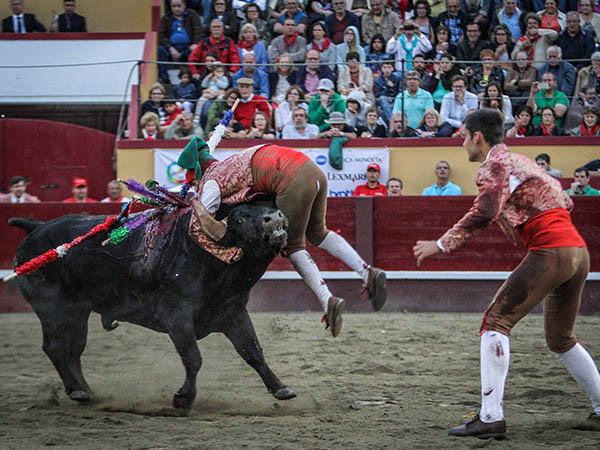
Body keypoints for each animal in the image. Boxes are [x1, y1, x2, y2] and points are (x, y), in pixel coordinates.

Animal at [9, 199, 296, 410]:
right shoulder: (176, 314)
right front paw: (183, 398)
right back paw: (77, 391)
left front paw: (281, 388)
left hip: (77, 313)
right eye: (239, 218)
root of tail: (36, 227)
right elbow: (193, 357)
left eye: (269, 205)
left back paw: (86, 391)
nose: (275, 217)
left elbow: (253, 351)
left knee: (74, 350)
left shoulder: (233, 312)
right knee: (56, 347)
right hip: (52, 309)